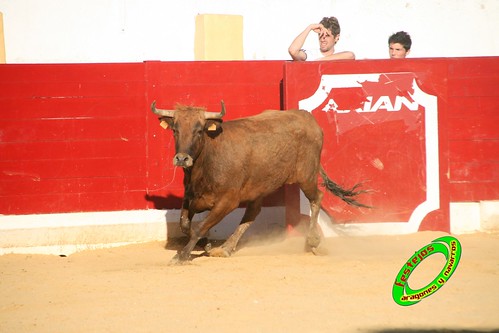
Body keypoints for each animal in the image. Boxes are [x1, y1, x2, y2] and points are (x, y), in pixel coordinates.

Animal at [150, 100, 366, 264]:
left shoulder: (227, 201)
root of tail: (308, 119)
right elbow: (185, 224)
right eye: (175, 130)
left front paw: (182, 256)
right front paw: (208, 244)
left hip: (307, 176)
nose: (182, 158)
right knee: (252, 213)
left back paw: (312, 241)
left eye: (199, 131)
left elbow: (198, 227)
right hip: (260, 187)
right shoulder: (191, 197)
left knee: (317, 197)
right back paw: (226, 248)